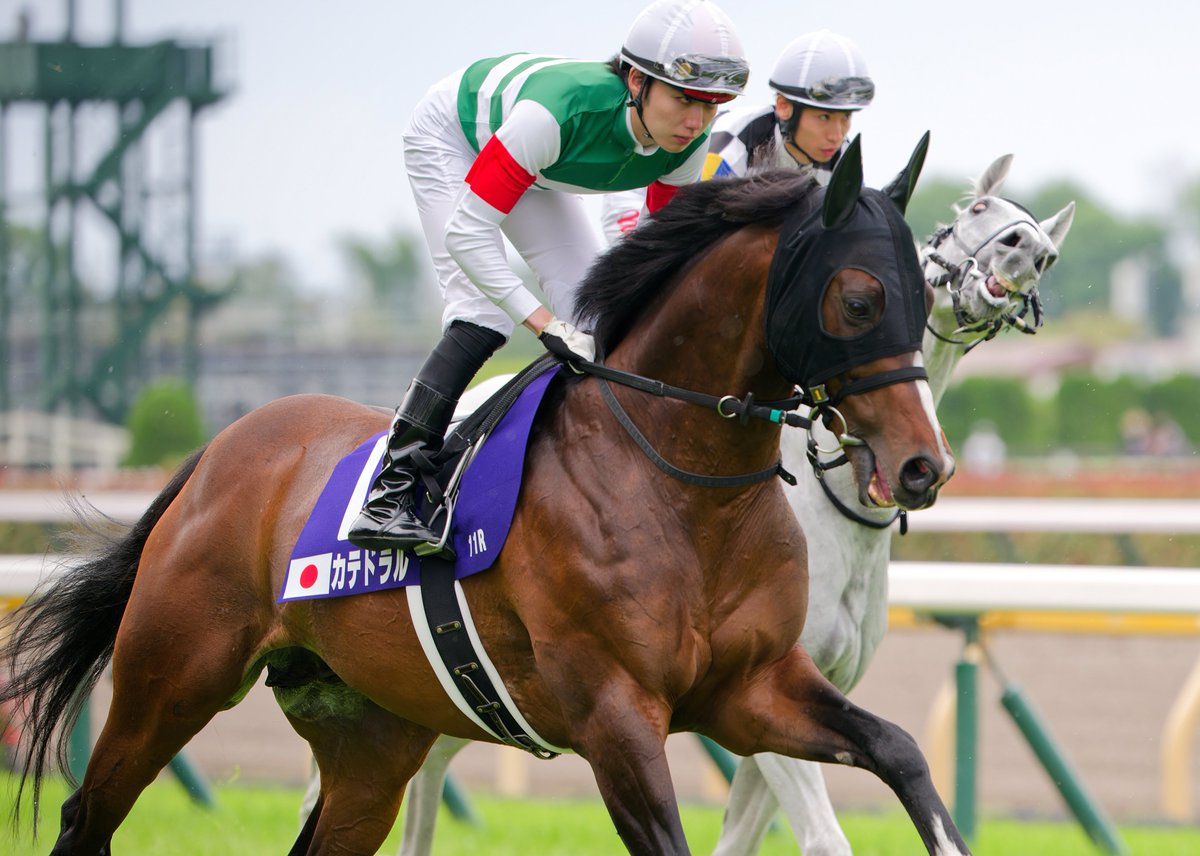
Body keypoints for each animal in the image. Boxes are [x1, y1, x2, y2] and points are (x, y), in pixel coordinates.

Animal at [0, 136, 967, 856]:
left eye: (923, 301)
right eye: (858, 299)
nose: (924, 465)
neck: (682, 485)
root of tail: (222, 447)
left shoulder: (753, 686)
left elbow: (902, 753)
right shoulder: (616, 718)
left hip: (368, 735)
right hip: (172, 676)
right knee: (87, 813)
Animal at [388, 155, 1076, 856]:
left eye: (1044, 250)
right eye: (977, 213)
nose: (1027, 251)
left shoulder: (778, 685)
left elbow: (745, 831)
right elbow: (822, 836)